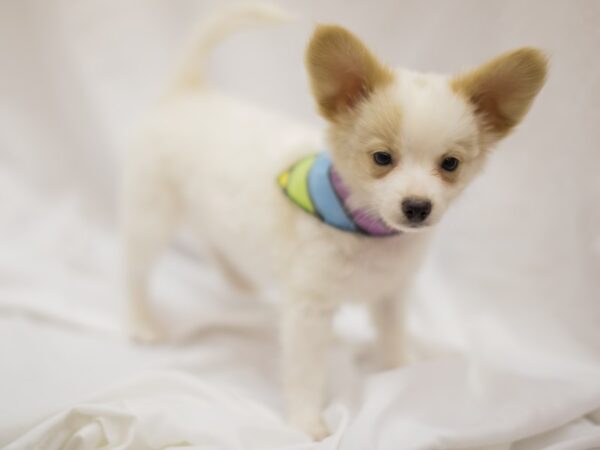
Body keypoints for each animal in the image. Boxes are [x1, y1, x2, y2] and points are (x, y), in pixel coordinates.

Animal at [122, 3, 548, 440]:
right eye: (382, 158)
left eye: (450, 164)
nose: (417, 206)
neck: (369, 233)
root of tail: (188, 92)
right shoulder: (308, 312)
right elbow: (305, 373)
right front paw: (306, 422)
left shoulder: (392, 295)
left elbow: (394, 340)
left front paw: (404, 376)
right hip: (151, 218)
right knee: (134, 272)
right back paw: (142, 323)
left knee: (212, 242)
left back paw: (239, 283)